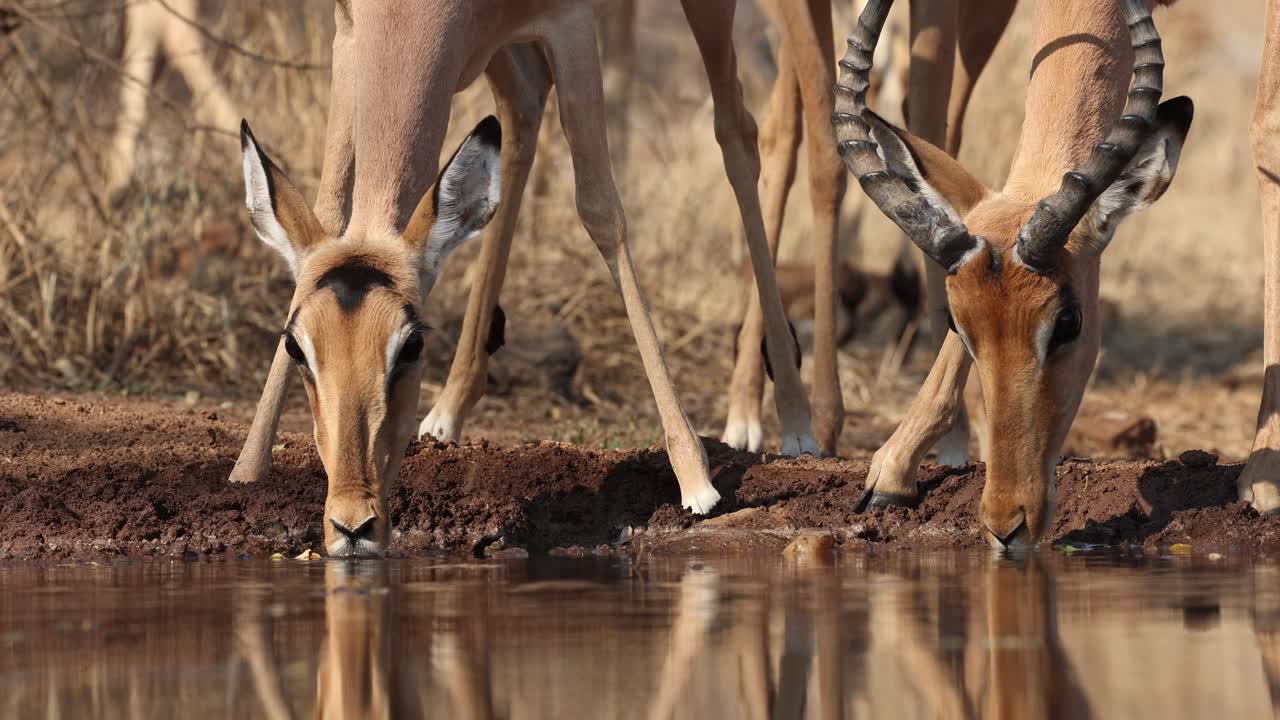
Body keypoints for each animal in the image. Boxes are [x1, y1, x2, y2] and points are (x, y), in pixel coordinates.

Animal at [232, 0, 835, 555]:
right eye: (295, 344)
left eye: (413, 345)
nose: (352, 526)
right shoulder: (350, 30)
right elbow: (330, 207)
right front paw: (247, 470)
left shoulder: (571, 24)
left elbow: (600, 209)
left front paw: (695, 478)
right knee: (521, 117)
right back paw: (448, 412)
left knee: (749, 132)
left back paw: (799, 422)